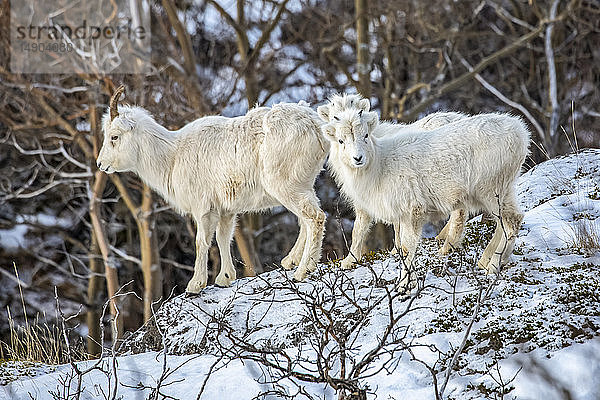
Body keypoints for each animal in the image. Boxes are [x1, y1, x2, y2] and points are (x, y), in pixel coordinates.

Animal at [97, 86, 328, 294]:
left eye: (114, 137)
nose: (100, 164)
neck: (173, 157)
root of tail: (316, 126)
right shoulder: (226, 211)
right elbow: (223, 238)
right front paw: (224, 279)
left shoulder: (203, 209)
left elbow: (201, 242)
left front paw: (195, 286)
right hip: (301, 186)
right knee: (305, 221)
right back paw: (290, 262)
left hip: (286, 187)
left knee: (314, 218)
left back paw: (303, 271)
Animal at [322, 104, 528, 286]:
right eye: (341, 141)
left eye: (365, 135)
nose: (358, 158)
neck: (380, 166)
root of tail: (520, 132)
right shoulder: (400, 215)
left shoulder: (412, 211)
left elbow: (407, 248)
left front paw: (404, 285)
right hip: (502, 191)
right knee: (505, 223)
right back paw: (487, 261)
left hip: (492, 190)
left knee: (512, 222)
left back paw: (492, 266)